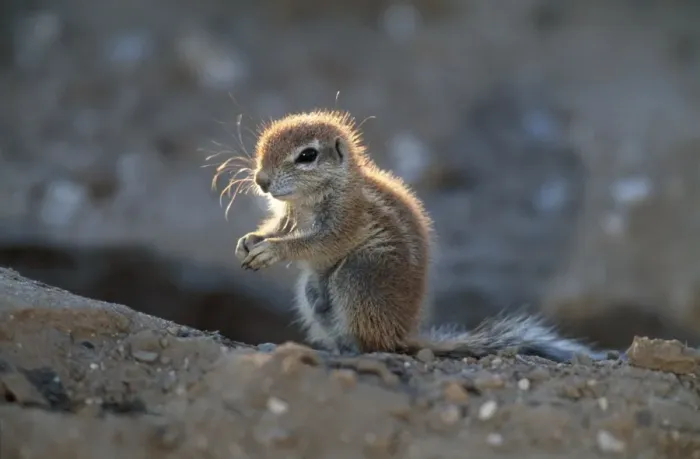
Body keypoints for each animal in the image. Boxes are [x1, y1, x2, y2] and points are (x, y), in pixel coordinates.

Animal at [231, 109, 615, 363]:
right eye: (263, 144)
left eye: (306, 156)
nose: (261, 180)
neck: (310, 197)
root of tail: (404, 334)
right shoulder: (288, 215)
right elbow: (278, 227)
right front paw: (250, 240)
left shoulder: (345, 219)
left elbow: (319, 242)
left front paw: (273, 250)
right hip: (312, 294)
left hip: (359, 274)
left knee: (379, 345)